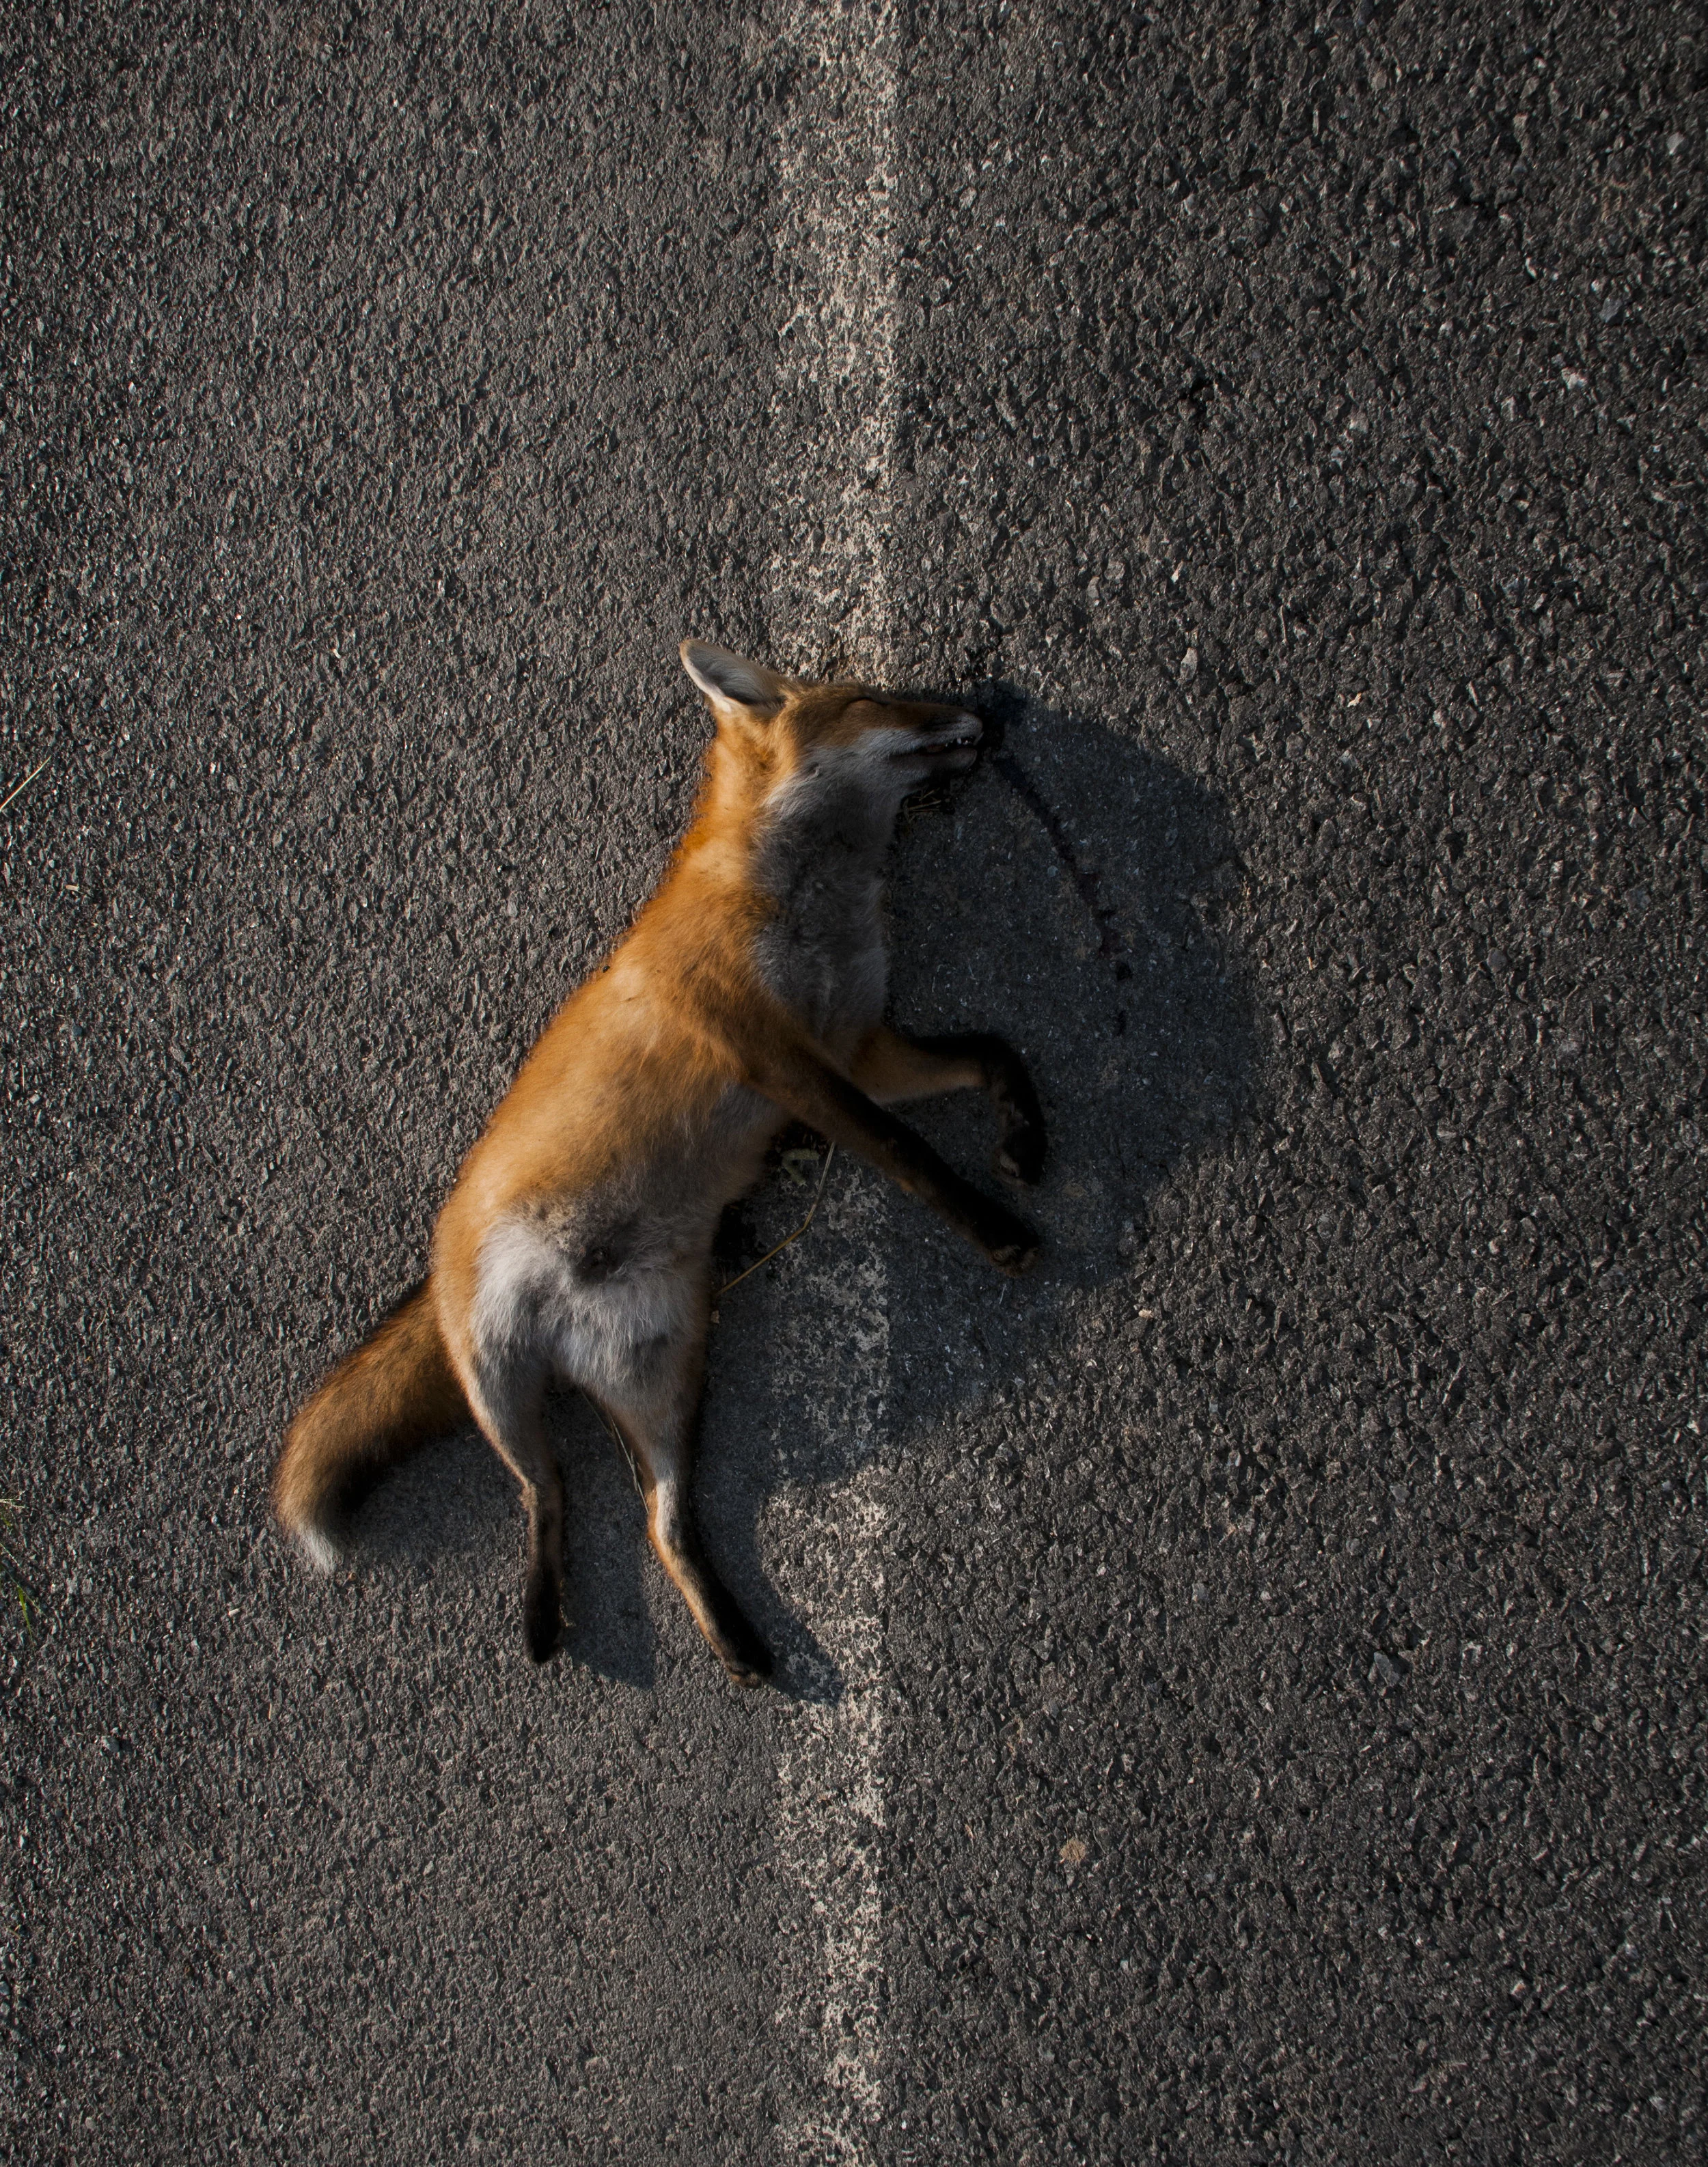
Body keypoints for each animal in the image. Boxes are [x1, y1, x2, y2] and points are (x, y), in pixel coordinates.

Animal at [273, 641, 1046, 1685]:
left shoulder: (860, 1049)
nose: (990, 710)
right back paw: (543, 1619)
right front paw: (995, 1231)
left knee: (655, 1520)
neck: (791, 895)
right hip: (496, 1381)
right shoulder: (777, 1054)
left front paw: (1024, 1137)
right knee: (546, 1492)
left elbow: (996, 1051)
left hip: (670, 1378)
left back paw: (734, 1642)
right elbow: (910, 1155)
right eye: (873, 697)